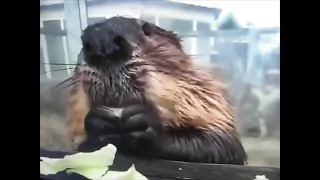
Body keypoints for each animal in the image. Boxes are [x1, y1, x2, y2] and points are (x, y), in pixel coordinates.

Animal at [65, 16, 248, 165]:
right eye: (83, 41)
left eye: (147, 30)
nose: (103, 43)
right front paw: (99, 123)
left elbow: (224, 145)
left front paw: (141, 121)